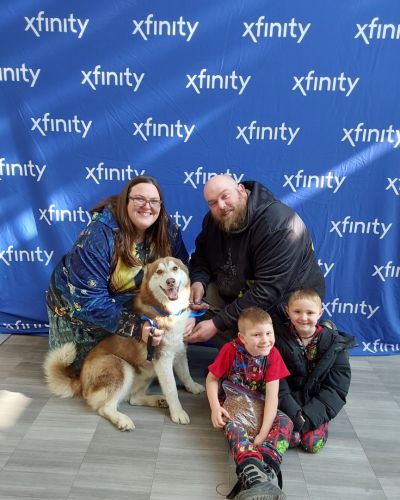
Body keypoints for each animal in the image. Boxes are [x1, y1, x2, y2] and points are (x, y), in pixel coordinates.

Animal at [42, 258, 205, 430]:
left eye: (175, 268)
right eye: (159, 272)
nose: (170, 281)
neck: (167, 310)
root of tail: (80, 380)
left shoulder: (179, 351)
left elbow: (186, 375)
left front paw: (193, 387)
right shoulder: (162, 358)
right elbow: (172, 388)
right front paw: (178, 413)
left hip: (147, 373)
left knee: (134, 399)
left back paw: (158, 400)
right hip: (121, 367)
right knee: (104, 408)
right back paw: (122, 420)